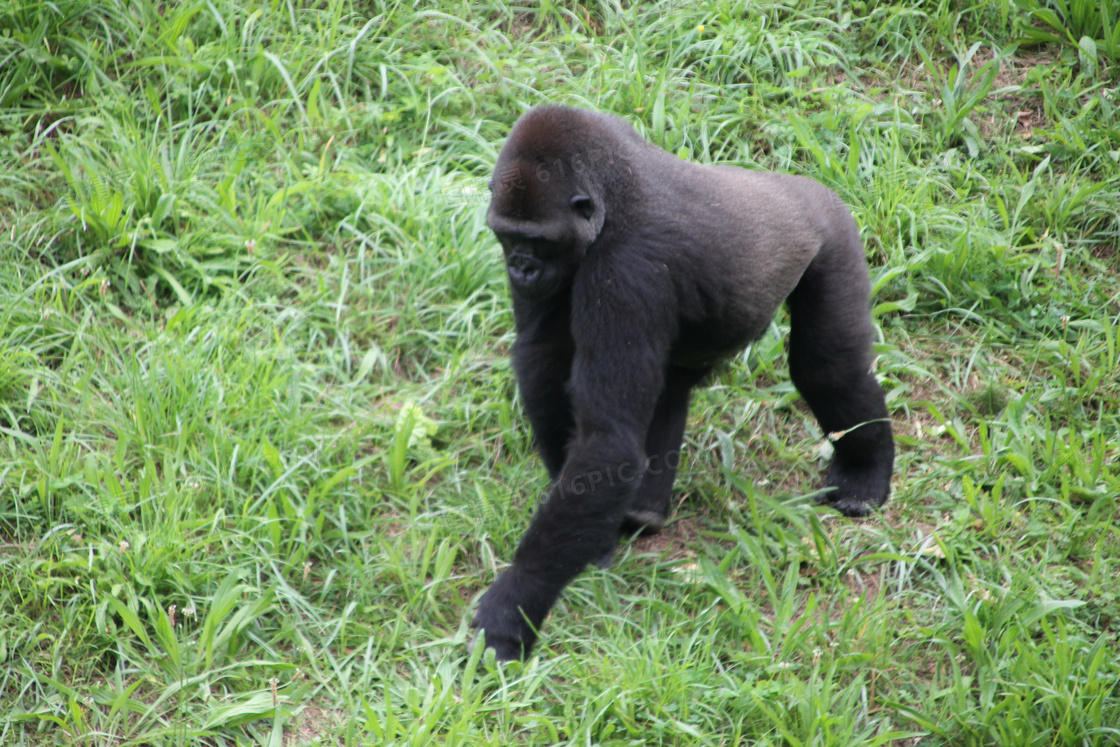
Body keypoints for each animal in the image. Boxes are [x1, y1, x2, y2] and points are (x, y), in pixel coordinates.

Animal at [470, 105, 891, 658]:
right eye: (508, 235)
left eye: (538, 241)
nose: (521, 268)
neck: (611, 200)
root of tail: (804, 186)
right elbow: (541, 362)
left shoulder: (625, 270)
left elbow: (607, 441)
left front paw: (514, 604)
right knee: (673, 384)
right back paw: (645, 510)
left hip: (833, 236)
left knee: (828, 367)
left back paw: (867, 471)